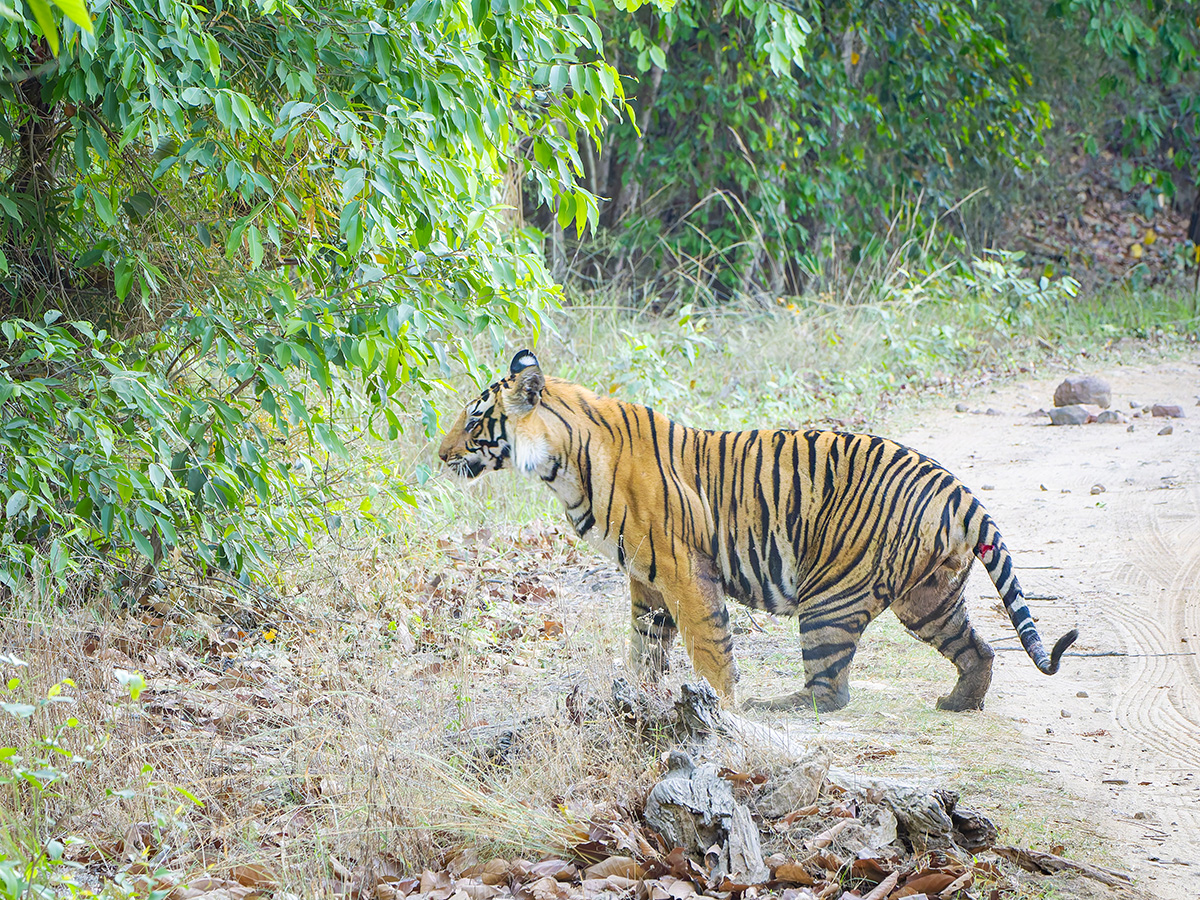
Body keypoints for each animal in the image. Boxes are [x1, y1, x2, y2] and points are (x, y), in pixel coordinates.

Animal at [438, 350, 1077, 712]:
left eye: (474, 421)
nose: (440, 455)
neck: (562, 464)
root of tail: (959, 490)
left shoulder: (684, 570)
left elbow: (709, 646)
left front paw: (720, 706)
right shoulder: (645, 579)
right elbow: (646, 644)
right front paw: (639, 693)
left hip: (831, 594)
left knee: (831, 688)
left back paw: (780, 705)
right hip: (929, 597)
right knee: (978, 649)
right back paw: (958, 702)